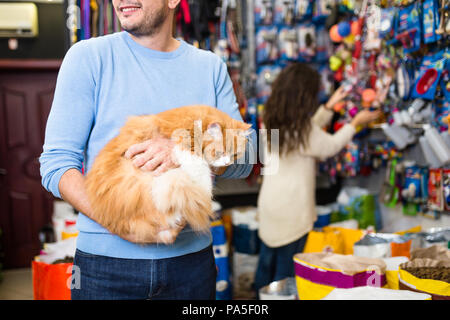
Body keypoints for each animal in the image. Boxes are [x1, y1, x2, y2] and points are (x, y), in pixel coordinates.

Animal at [85, 104, 251, 242]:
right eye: (219, 153)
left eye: (235, 155)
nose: (226, 163)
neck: (194, 124)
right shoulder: (183, 146)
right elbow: (201, 169)